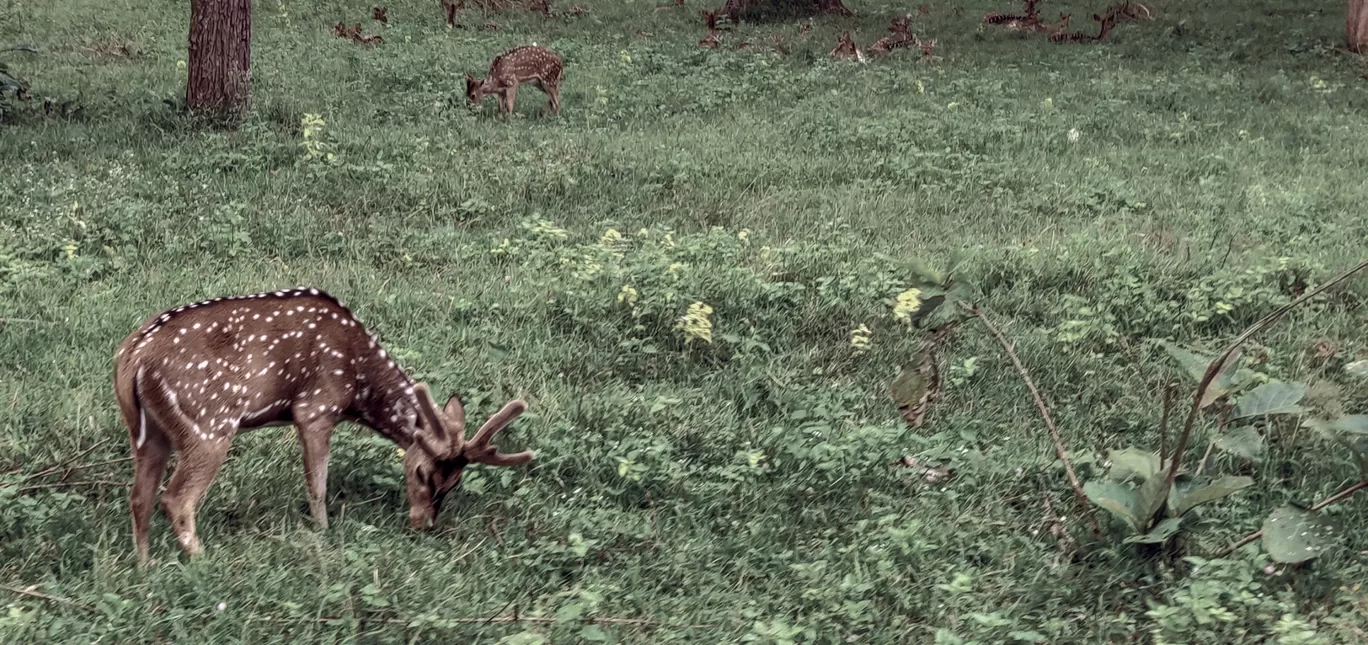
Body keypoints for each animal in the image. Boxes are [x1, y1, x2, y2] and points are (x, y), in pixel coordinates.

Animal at [113, 287, 533, 564]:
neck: (358, 386)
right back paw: (203, 561)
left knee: (139, 497)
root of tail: (133, 357)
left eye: (455, 482)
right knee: (175, 498)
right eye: (421, 472)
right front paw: (324, 532)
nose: (422, 523)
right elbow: (317, 483)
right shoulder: (316, 408)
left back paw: (145, 567)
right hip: (208, 424)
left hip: (150, 433)